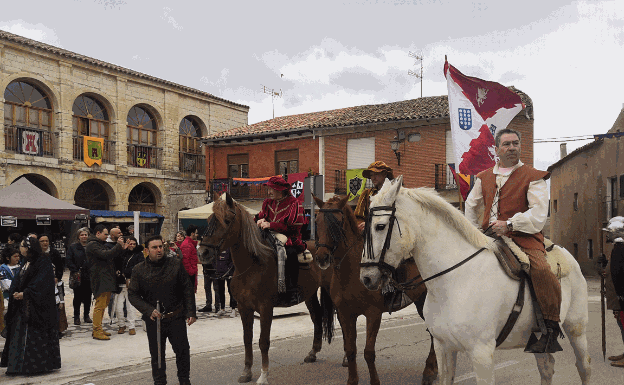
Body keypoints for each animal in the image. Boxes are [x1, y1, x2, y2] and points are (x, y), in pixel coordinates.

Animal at [199, 194, 336, 382]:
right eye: (208, 220)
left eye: (226, 220)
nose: (202, 253)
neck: (251, 266)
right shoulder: (244, 308)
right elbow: (247, 338)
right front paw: (246, 371)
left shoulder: (265, 308)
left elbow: (263, 341)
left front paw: (263, 375)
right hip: (310, 294)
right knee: (317, 316)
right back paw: (313, 352)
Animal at [312, 195, 438, 384]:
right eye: (317, 221)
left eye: (337, 223)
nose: (322, 257)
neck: (351, 272)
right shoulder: (345, 314)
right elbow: (350, 349)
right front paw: (352, 380)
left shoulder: (373, 314)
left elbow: (368, 352)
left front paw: (374, 381)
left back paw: (429, 371)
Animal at [356, 176, 588, 384]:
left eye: (380, 226)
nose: (366, 278)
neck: (454, 282)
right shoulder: (443, 348)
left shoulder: (482, 352)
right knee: (546, 368)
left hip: (576, 330)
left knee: (583, 368)